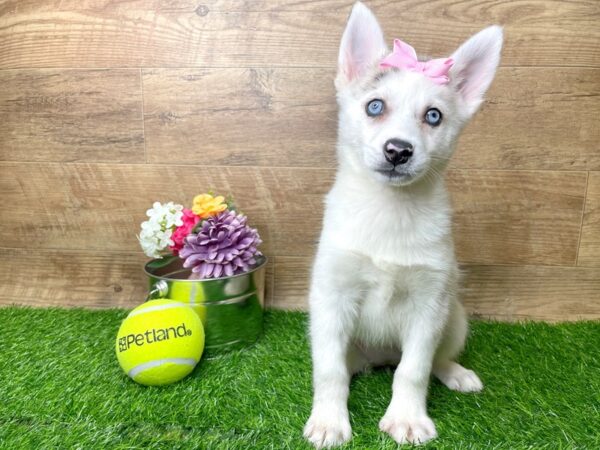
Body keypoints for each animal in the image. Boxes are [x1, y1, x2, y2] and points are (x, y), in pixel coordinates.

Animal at [304, 2, 502, 446]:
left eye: (434, 116)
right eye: (375, 106)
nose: (398, 151)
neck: (388, 210)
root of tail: (381, 356)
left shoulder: (429, 305)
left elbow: (414, 372)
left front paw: (407, 418)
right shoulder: (332, 298)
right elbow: (329, 371)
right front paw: (328, 421)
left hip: (454, 318)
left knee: (429, 361)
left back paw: (455, 373)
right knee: (346, 366)